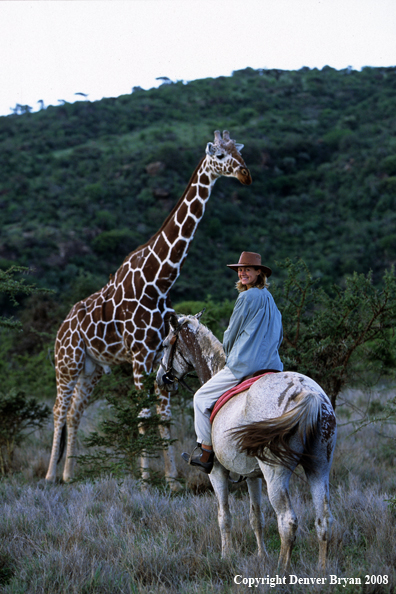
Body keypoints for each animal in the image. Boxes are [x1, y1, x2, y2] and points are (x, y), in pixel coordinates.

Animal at [45, 130, 251, 486]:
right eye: (220, 156)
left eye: (239, 153)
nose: (245, 175)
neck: (157, 281)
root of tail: (62, 326)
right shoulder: (139, 355)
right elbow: (142, 413)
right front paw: (144, 477)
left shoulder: (159, 355)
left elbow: (163, 414)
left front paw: (172, 478)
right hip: (67, 362)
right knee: (59, 410)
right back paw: (49, 475)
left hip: (92, 368)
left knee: (74, 412)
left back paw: (70, 475)